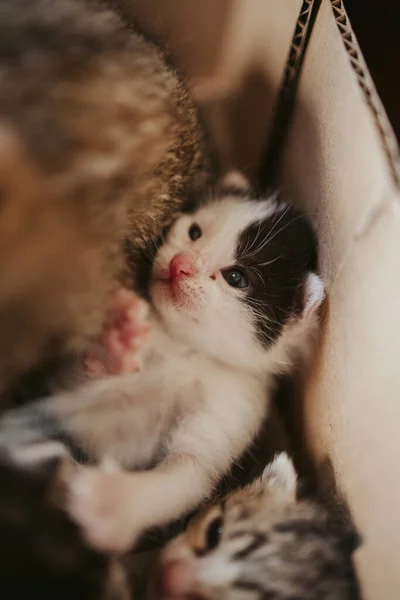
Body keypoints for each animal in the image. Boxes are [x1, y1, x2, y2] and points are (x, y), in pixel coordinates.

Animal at [0, 172, 324, 552]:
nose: (179, 264)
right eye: (195, 232)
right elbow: (79, 386)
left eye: (236, 278)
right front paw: (114, 343)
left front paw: (113, 501)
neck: (188, 351)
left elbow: (187, 474)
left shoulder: (232, 409)